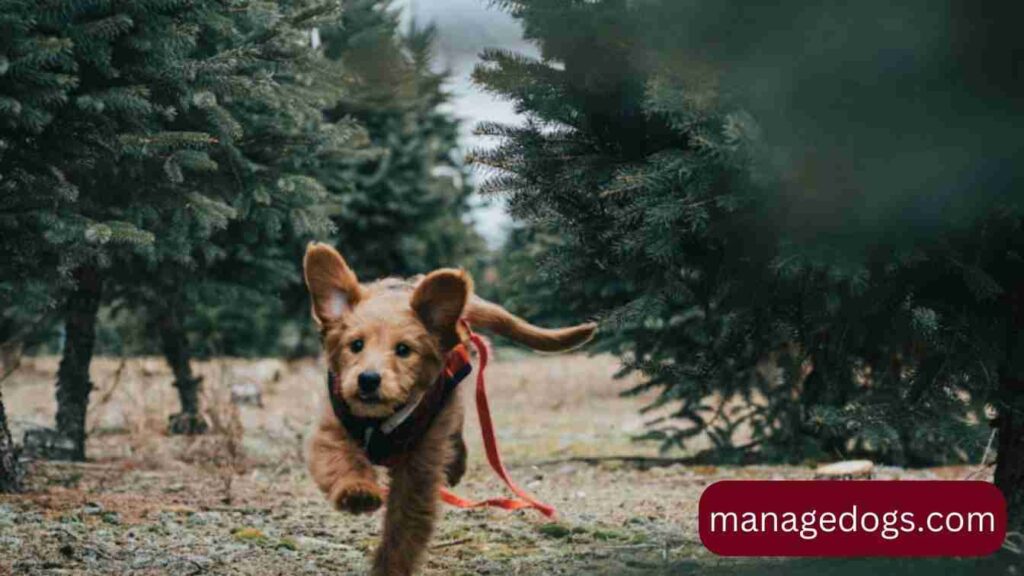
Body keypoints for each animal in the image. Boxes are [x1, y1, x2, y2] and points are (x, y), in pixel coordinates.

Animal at [299, 241, 598, 573]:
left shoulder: (420, 466)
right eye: (356, 345)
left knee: (457, 427)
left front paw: (391, 567)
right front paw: (358, 492)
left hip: (449, 402)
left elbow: (403, 529)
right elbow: (342, 461)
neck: (381, 420)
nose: (368, 380)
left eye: (403, 350)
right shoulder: (330, 429)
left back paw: (456, 464)